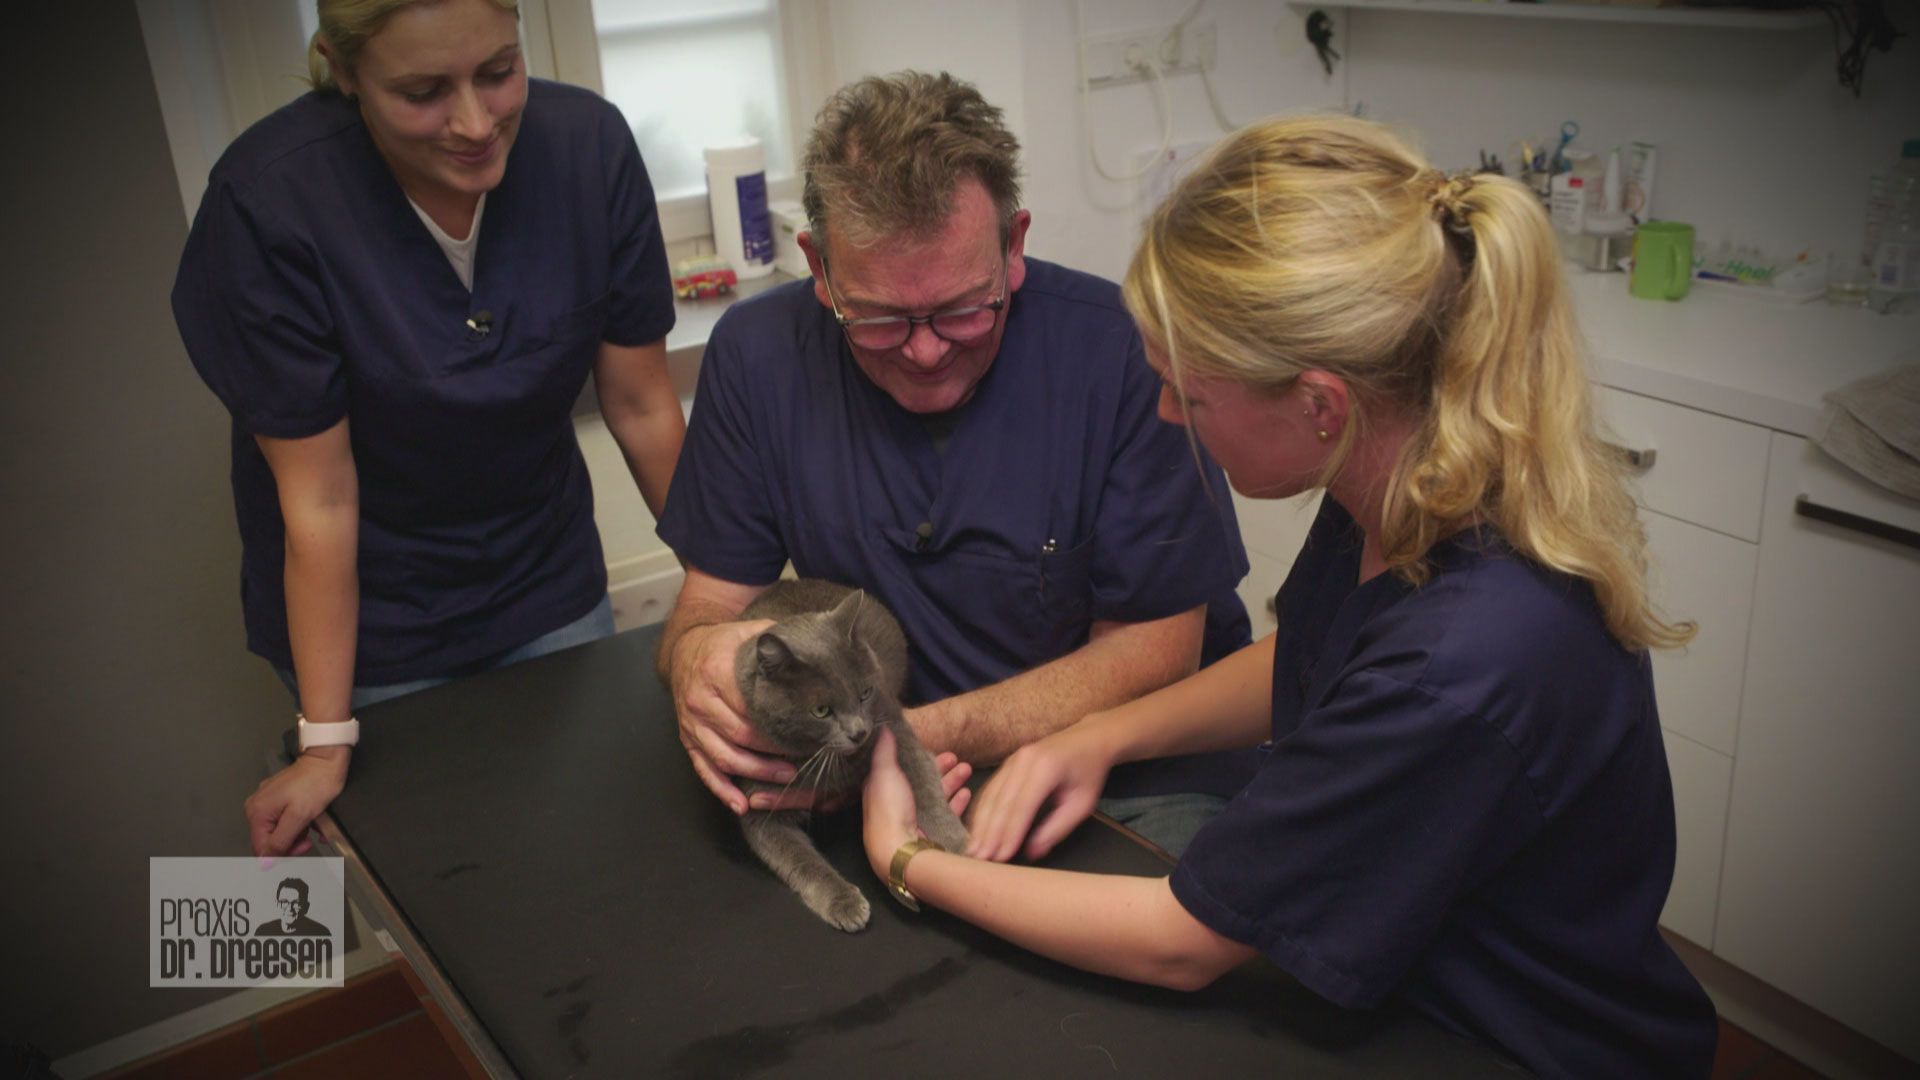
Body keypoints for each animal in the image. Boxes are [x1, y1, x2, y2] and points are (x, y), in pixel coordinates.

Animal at [737, 576, 975, 930]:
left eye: (864, 693)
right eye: (821, 710)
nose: (859, 732)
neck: (823, 760)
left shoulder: (891, 721)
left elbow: (920, 777)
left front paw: (954, 841)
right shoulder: (759, 807)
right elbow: (797, 859)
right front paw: (844, 902)